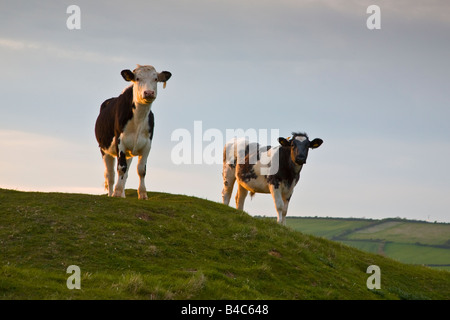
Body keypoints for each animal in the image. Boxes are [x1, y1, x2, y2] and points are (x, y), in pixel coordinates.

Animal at [94, 64, 171, 199]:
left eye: (156, 79)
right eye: (137, 78)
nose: (149, 92)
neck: (138, 120)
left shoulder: (147, 145)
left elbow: (141, 170)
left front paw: (143, 194)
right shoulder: (120, 143)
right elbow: (121, 168)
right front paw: (117, 193)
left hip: (128, 153)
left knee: (125, 174)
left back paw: (123, 195)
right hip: (104, 150)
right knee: (110, 174)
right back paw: (111, 194)